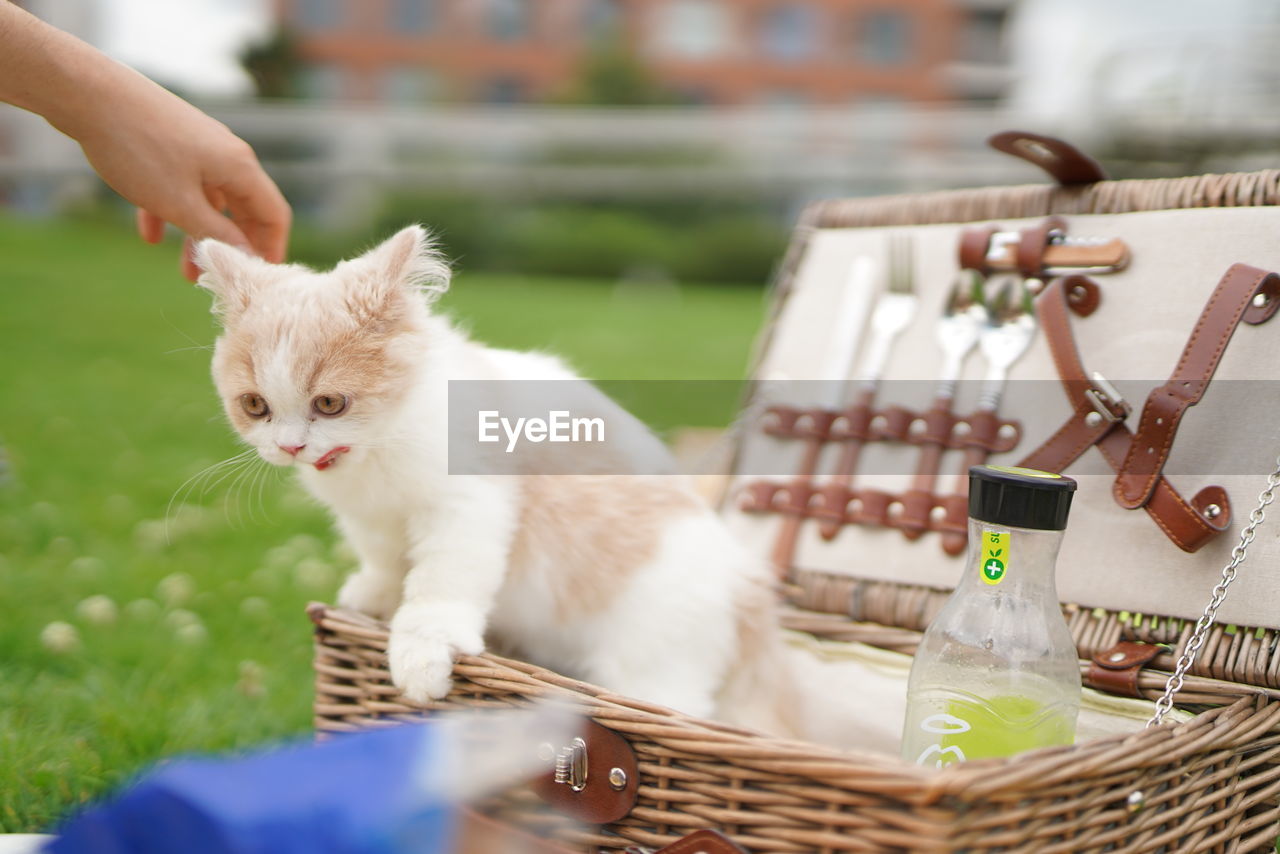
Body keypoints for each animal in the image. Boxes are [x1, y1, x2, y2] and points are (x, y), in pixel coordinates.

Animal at [193, 226, 798, 737]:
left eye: (329, 403)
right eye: (255, 406)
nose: (290, 446)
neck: (380, 449)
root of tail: (752, 596)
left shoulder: (466, 504)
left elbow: (440, 583)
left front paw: (420, 649)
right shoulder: (371, 518)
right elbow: (387, 560)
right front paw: (374, 595)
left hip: (656, 661)